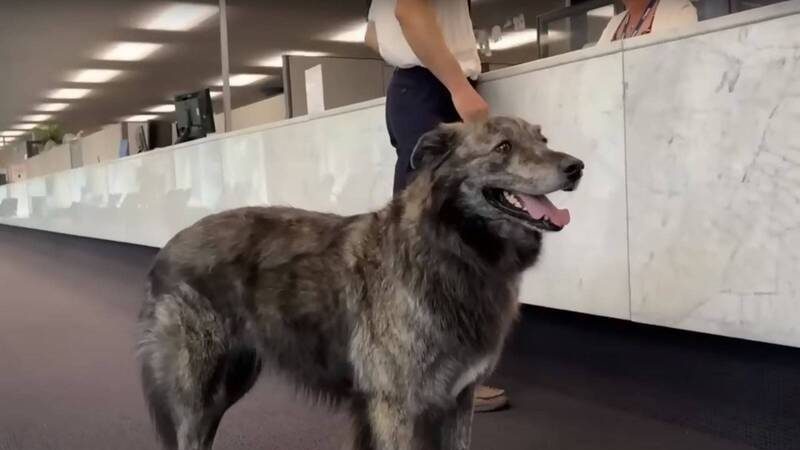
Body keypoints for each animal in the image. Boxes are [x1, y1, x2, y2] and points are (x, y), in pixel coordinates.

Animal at [137, 116, 584, 450]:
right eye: (503, 147)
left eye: (543, 139)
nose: (576, 167)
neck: (449, 249)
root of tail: (166, 249)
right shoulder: (395, 409)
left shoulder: (458, 401)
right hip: (198, 394)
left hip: (231, 381)